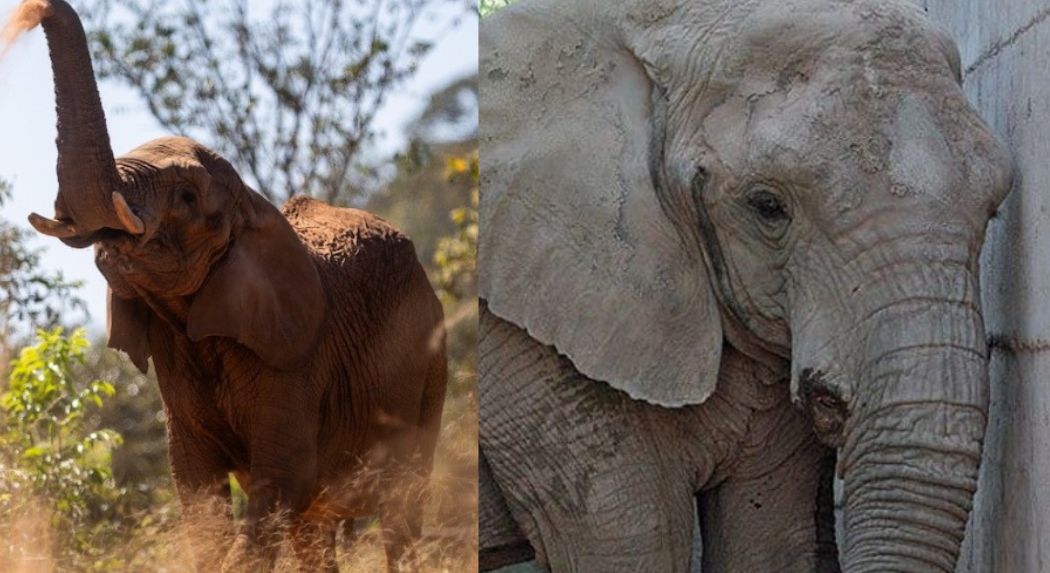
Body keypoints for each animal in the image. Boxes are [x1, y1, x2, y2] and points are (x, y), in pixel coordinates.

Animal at [17, 1, 447, 571]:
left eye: (186, 197)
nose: (31, 13)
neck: (252, 204)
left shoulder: (297, 356)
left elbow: (283, 479)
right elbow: (195, 486)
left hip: (429, 367)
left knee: (402, 510)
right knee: (313, 533)